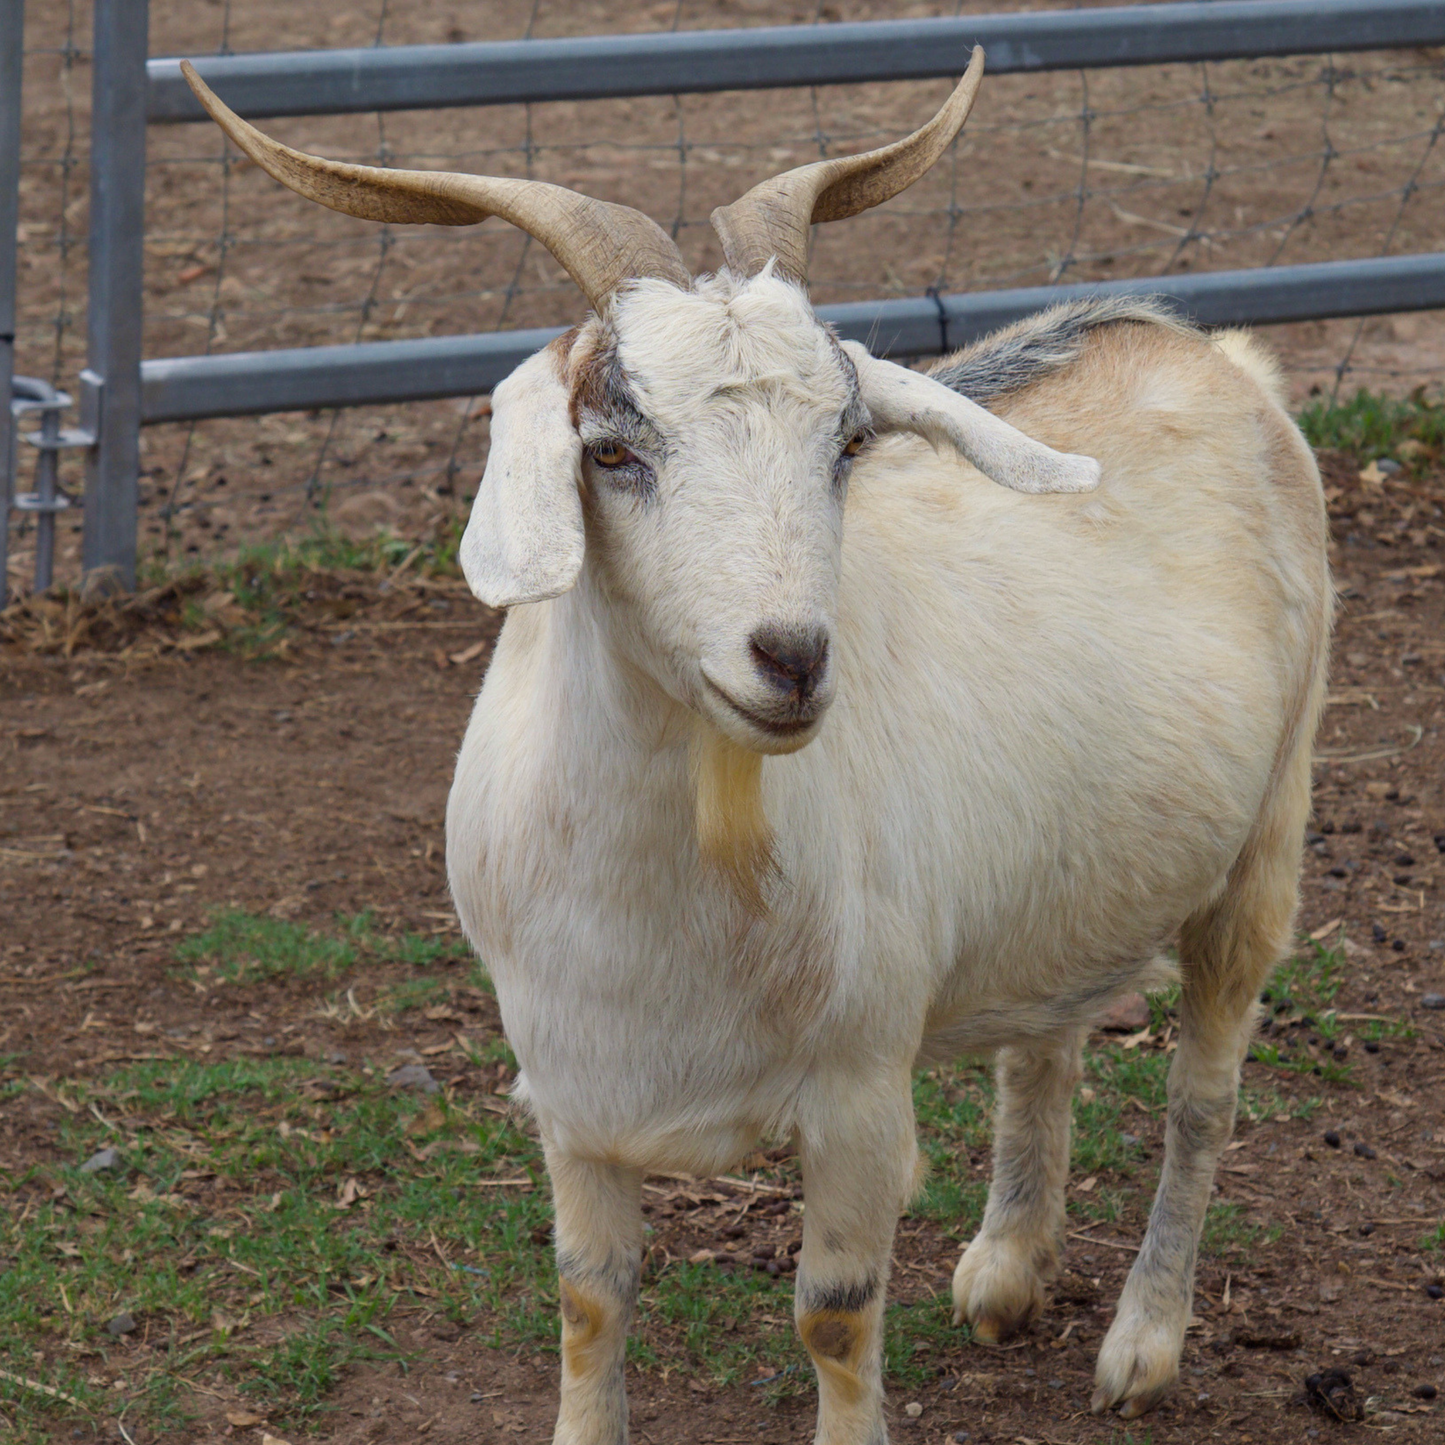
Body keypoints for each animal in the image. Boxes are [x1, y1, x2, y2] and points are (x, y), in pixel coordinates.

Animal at [184, 53, 1331, 1445]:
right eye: (610, 450)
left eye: (846, 443)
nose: (788, 657)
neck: (682, 894)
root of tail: (1205, 349)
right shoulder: (570, 1096)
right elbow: (588, 1302)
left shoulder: (857, 1094)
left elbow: (833, 1317)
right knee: (1042, 1034)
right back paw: (1007, 1268)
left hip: (1265, 835)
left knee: (1201, 1093)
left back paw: (1142, 1341)